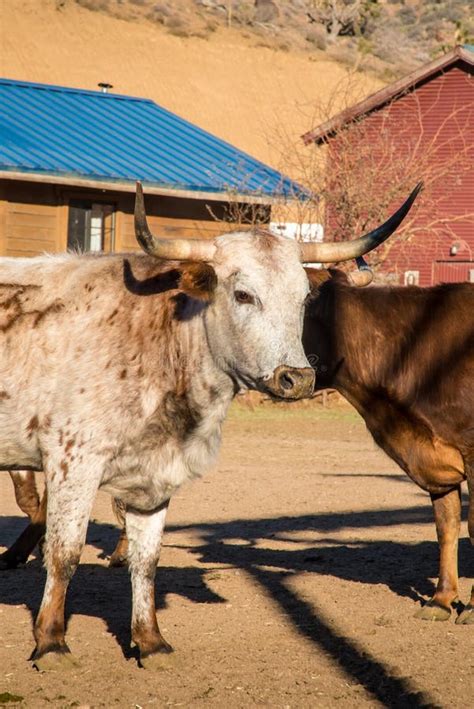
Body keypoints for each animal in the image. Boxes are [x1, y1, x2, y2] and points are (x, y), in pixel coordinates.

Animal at [0, 183, 416, 668]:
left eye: (302, 299)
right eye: (243, 295)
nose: (297, 379)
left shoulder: (154, 473)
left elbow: (146, 560)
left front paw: (150, 640)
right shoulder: (72, 461)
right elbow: (64, 554)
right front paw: (50, 641)